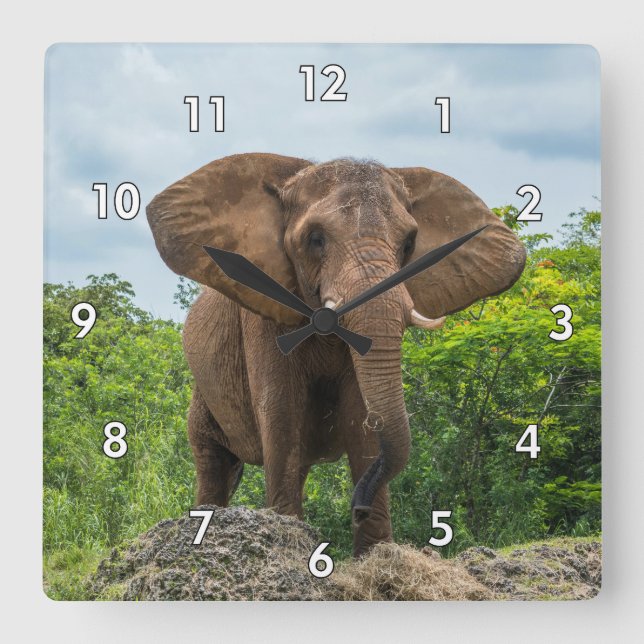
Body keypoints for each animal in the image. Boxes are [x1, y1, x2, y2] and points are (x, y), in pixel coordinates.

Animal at [146, 153, 526, 557]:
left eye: (409, 243)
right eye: (316, 239)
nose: (358, 506)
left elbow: (362, 414)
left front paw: (374, 555)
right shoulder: (264, 315)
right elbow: (281, 410)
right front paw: (291, 547)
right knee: (213, 461)